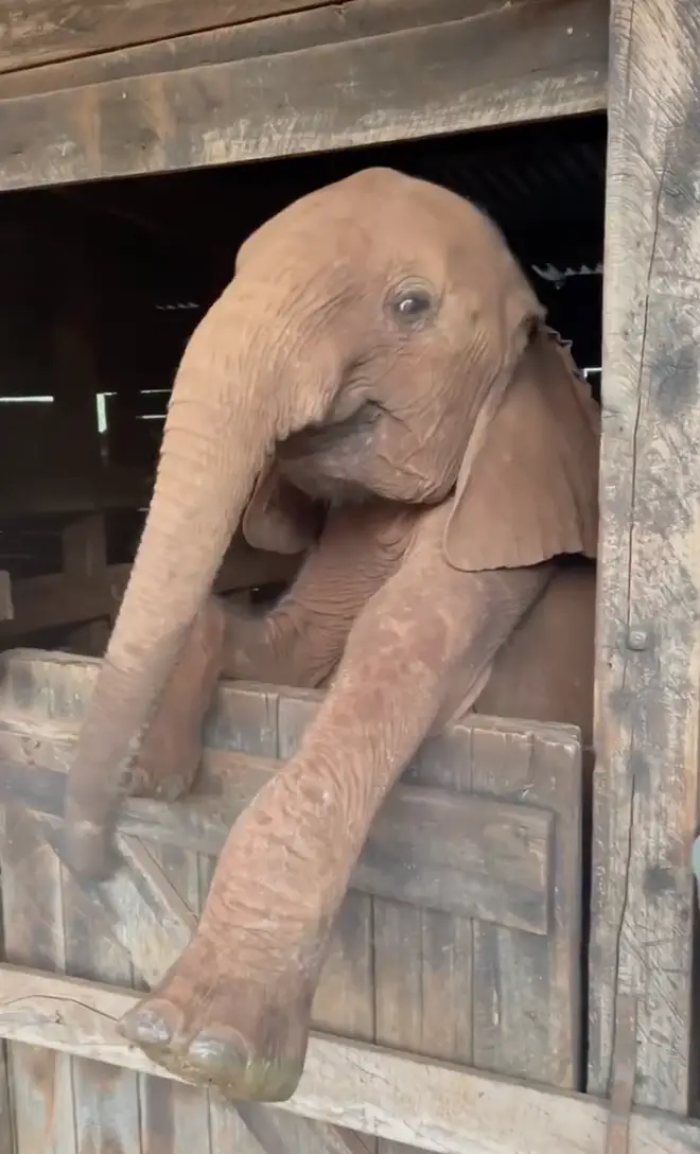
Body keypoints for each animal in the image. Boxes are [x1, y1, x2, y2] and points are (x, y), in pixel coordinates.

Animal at [63, 166, 600, 1101]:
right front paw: (158, 771)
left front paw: (196, 1045)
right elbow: (288, 642)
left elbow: (388, 655)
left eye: (412, 305)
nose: (93, 859)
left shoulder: (494, 552)